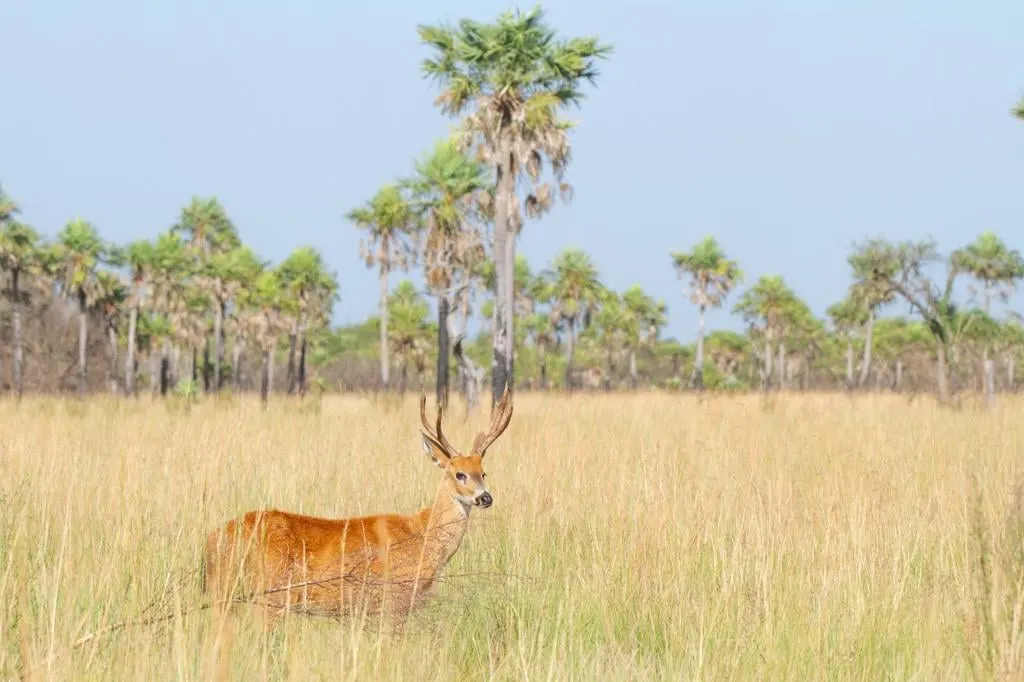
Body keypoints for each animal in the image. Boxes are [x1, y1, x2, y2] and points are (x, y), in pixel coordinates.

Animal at [202, 385, 513, 629]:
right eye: (459, 474)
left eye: (483, 472)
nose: (485, 498)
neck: (423, 535)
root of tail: (215, 537)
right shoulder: (394, 600)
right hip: (269, 593)